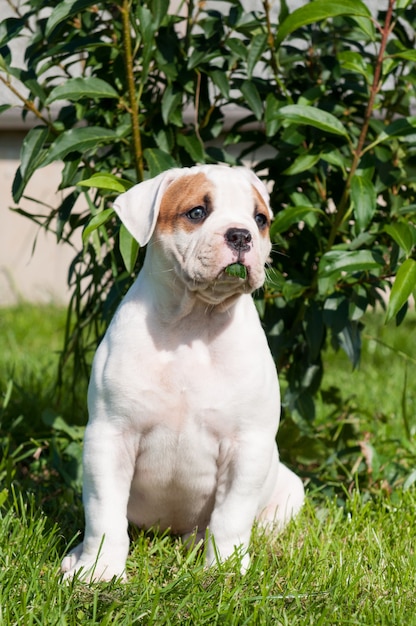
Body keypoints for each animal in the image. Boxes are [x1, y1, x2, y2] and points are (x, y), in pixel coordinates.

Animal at [60, 162, 304, 580]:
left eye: (260, 220)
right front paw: (99, 569)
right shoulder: (111, 436)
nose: (241, 234)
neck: (193, 324)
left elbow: (231, 516)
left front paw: (224, 570)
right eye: (197, 212)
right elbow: (105, 512)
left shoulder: (247, 446)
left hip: (290, 489)